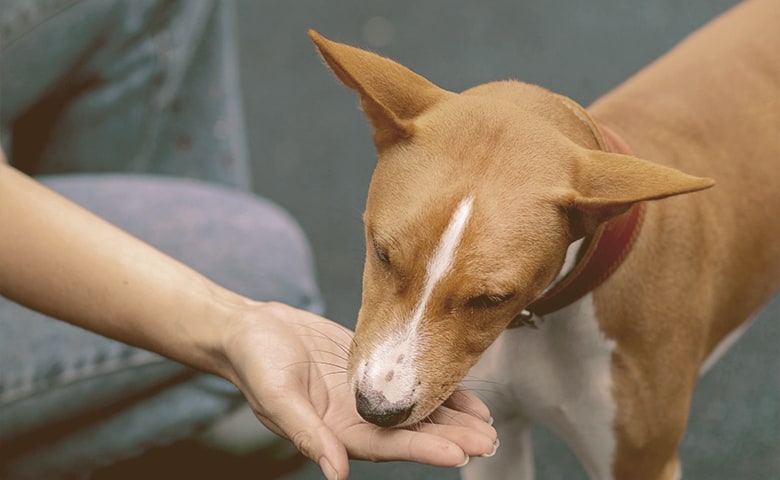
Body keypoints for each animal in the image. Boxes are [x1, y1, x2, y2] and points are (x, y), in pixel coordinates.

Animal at [308, 0, 776, 476]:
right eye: (382, 254)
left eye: (492, 299)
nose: (376, 408)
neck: (540, 317)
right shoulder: (496, 438)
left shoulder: (641, 464)